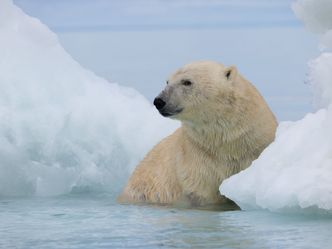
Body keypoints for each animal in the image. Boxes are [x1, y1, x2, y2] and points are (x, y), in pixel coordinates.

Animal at [118, 61, 276, 209]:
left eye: (187, 82)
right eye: (167, 81)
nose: (159, 101)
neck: (228, 146)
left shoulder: (255, 148)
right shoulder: (197, 160)